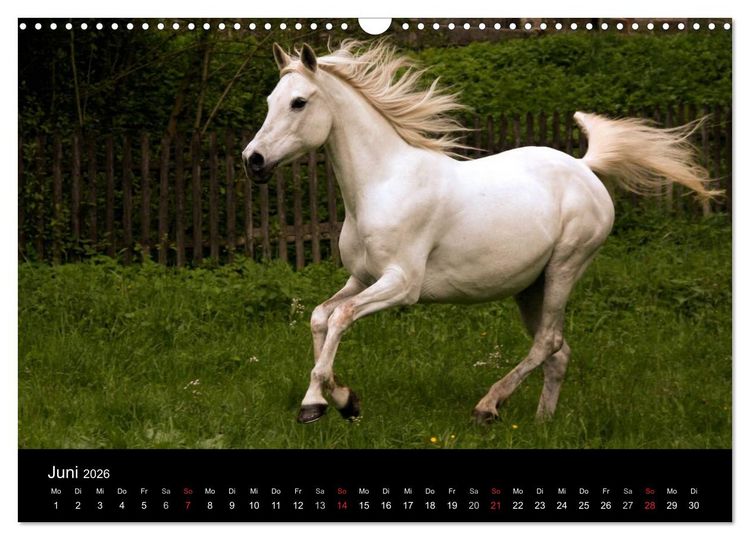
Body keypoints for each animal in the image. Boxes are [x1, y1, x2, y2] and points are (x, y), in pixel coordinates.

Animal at [242, 40, 720, 425]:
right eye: (270, 99)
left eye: (299, 102)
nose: (253, 160)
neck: (382, 183)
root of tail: (584, 167)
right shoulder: (362, 278)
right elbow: (320, 316)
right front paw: (332, 401)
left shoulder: (402, 284)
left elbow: (340, 317)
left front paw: (324, 403)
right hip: (531, 287)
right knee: (558, 351)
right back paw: (542, 423)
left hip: (566, 267)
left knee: (547, 342)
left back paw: (488, 407)